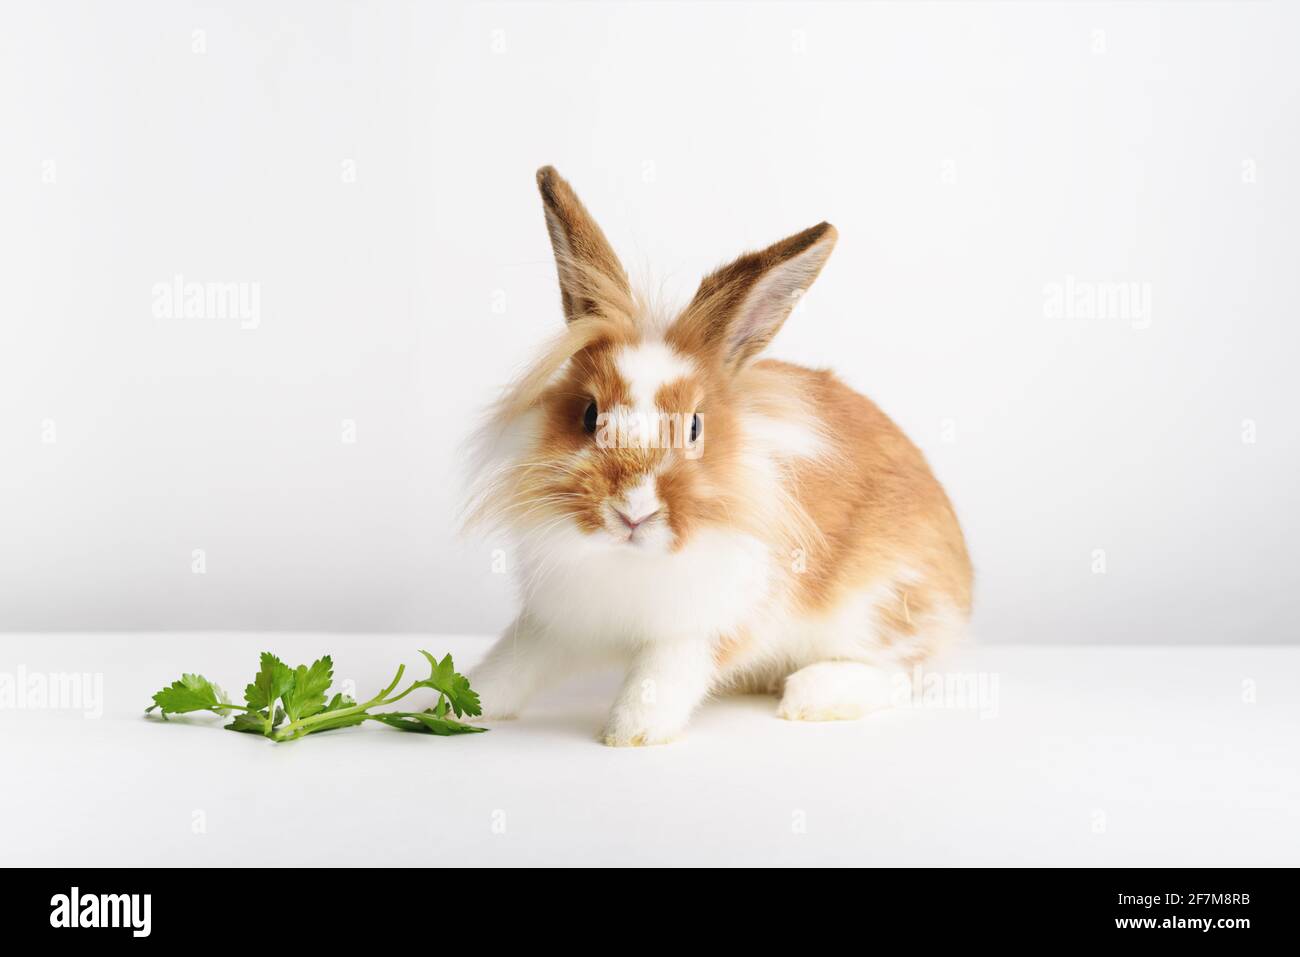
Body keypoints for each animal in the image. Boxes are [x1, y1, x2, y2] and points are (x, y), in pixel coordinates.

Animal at [465, 166, 972, 746]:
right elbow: (512, 663)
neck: (632, 558)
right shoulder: (555, 621)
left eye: (695, 426)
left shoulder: (705, 626)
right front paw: (457, 702)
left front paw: (630, 733)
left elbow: (660, 676)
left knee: (903, 673)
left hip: (882, 604)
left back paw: (812, 695)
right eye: (590, 416)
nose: (632, 512)